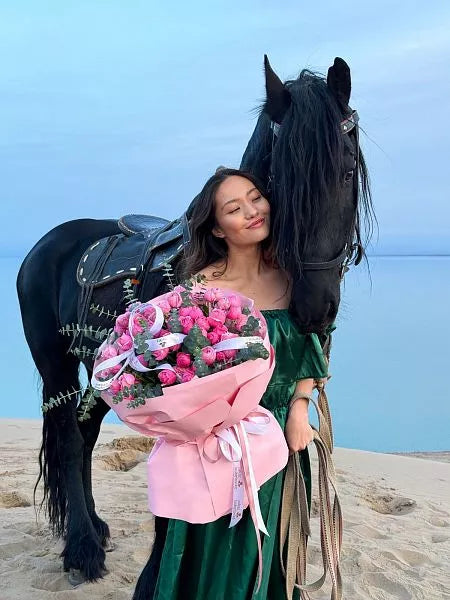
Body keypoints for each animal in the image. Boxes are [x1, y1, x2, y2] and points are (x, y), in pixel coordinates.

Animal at [16, 57, 376, 592]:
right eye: (276, 183)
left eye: (347, 170)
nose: (315, 307)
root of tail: (46, 244)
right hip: (55, 363)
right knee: (66, 436)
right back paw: (81, 547)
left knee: (84, 434)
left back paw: (95, 530)